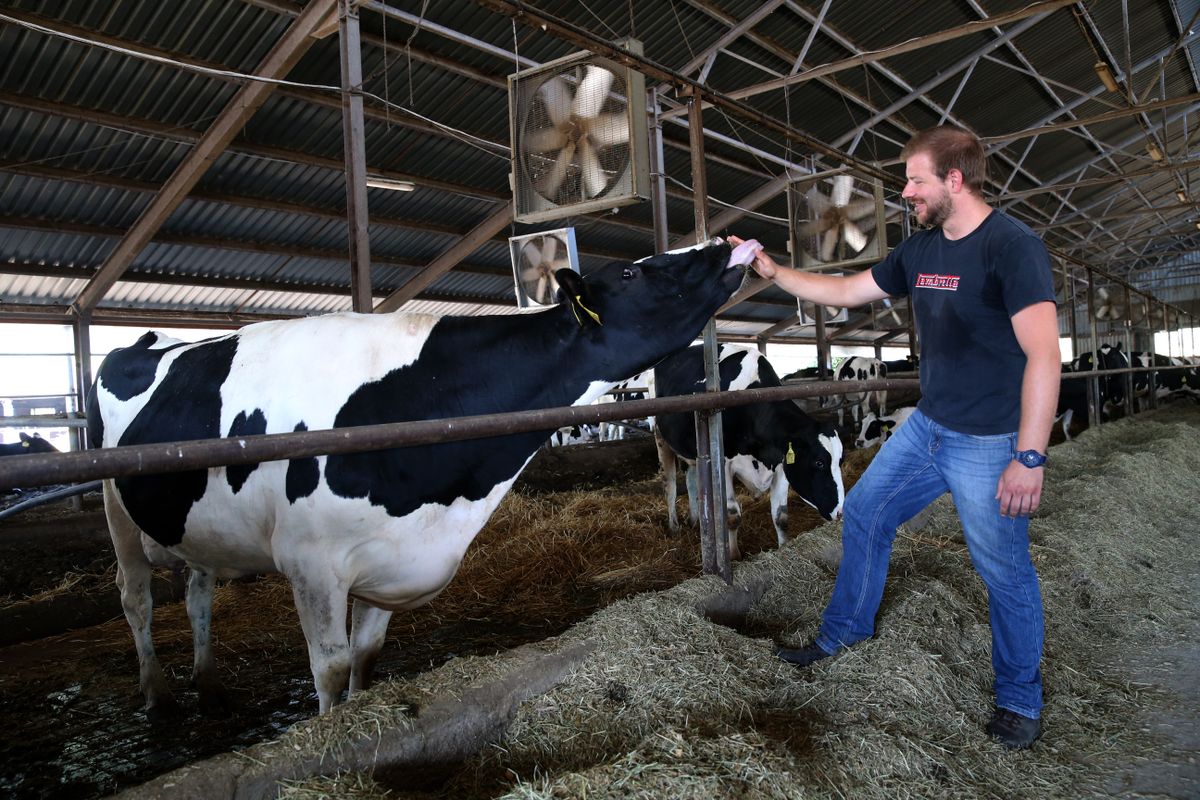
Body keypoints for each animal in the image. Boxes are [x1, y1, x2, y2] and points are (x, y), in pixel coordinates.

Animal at [87, 237, 758, 719]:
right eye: (630, 274)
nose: (726, 245)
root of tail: (146, 340)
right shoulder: (311, 562)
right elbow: (330, 669)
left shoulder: (390, 557)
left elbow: (366, 657)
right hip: (116, 506)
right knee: (135, 597)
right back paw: (158, 695)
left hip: (192, 523)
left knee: (197, 591)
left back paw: (206, 681)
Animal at [657, 345, 844, 563]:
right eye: (819, 463)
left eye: (841, 460)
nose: (841, 512)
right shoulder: (723, 464)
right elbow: (732, 516)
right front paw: (734, 555)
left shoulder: (781, 466)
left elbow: (781, 516)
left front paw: (784, 548)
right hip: (661, 439)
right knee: (670, 484)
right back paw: (674, 527)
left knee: (692, 480)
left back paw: (695, 520)